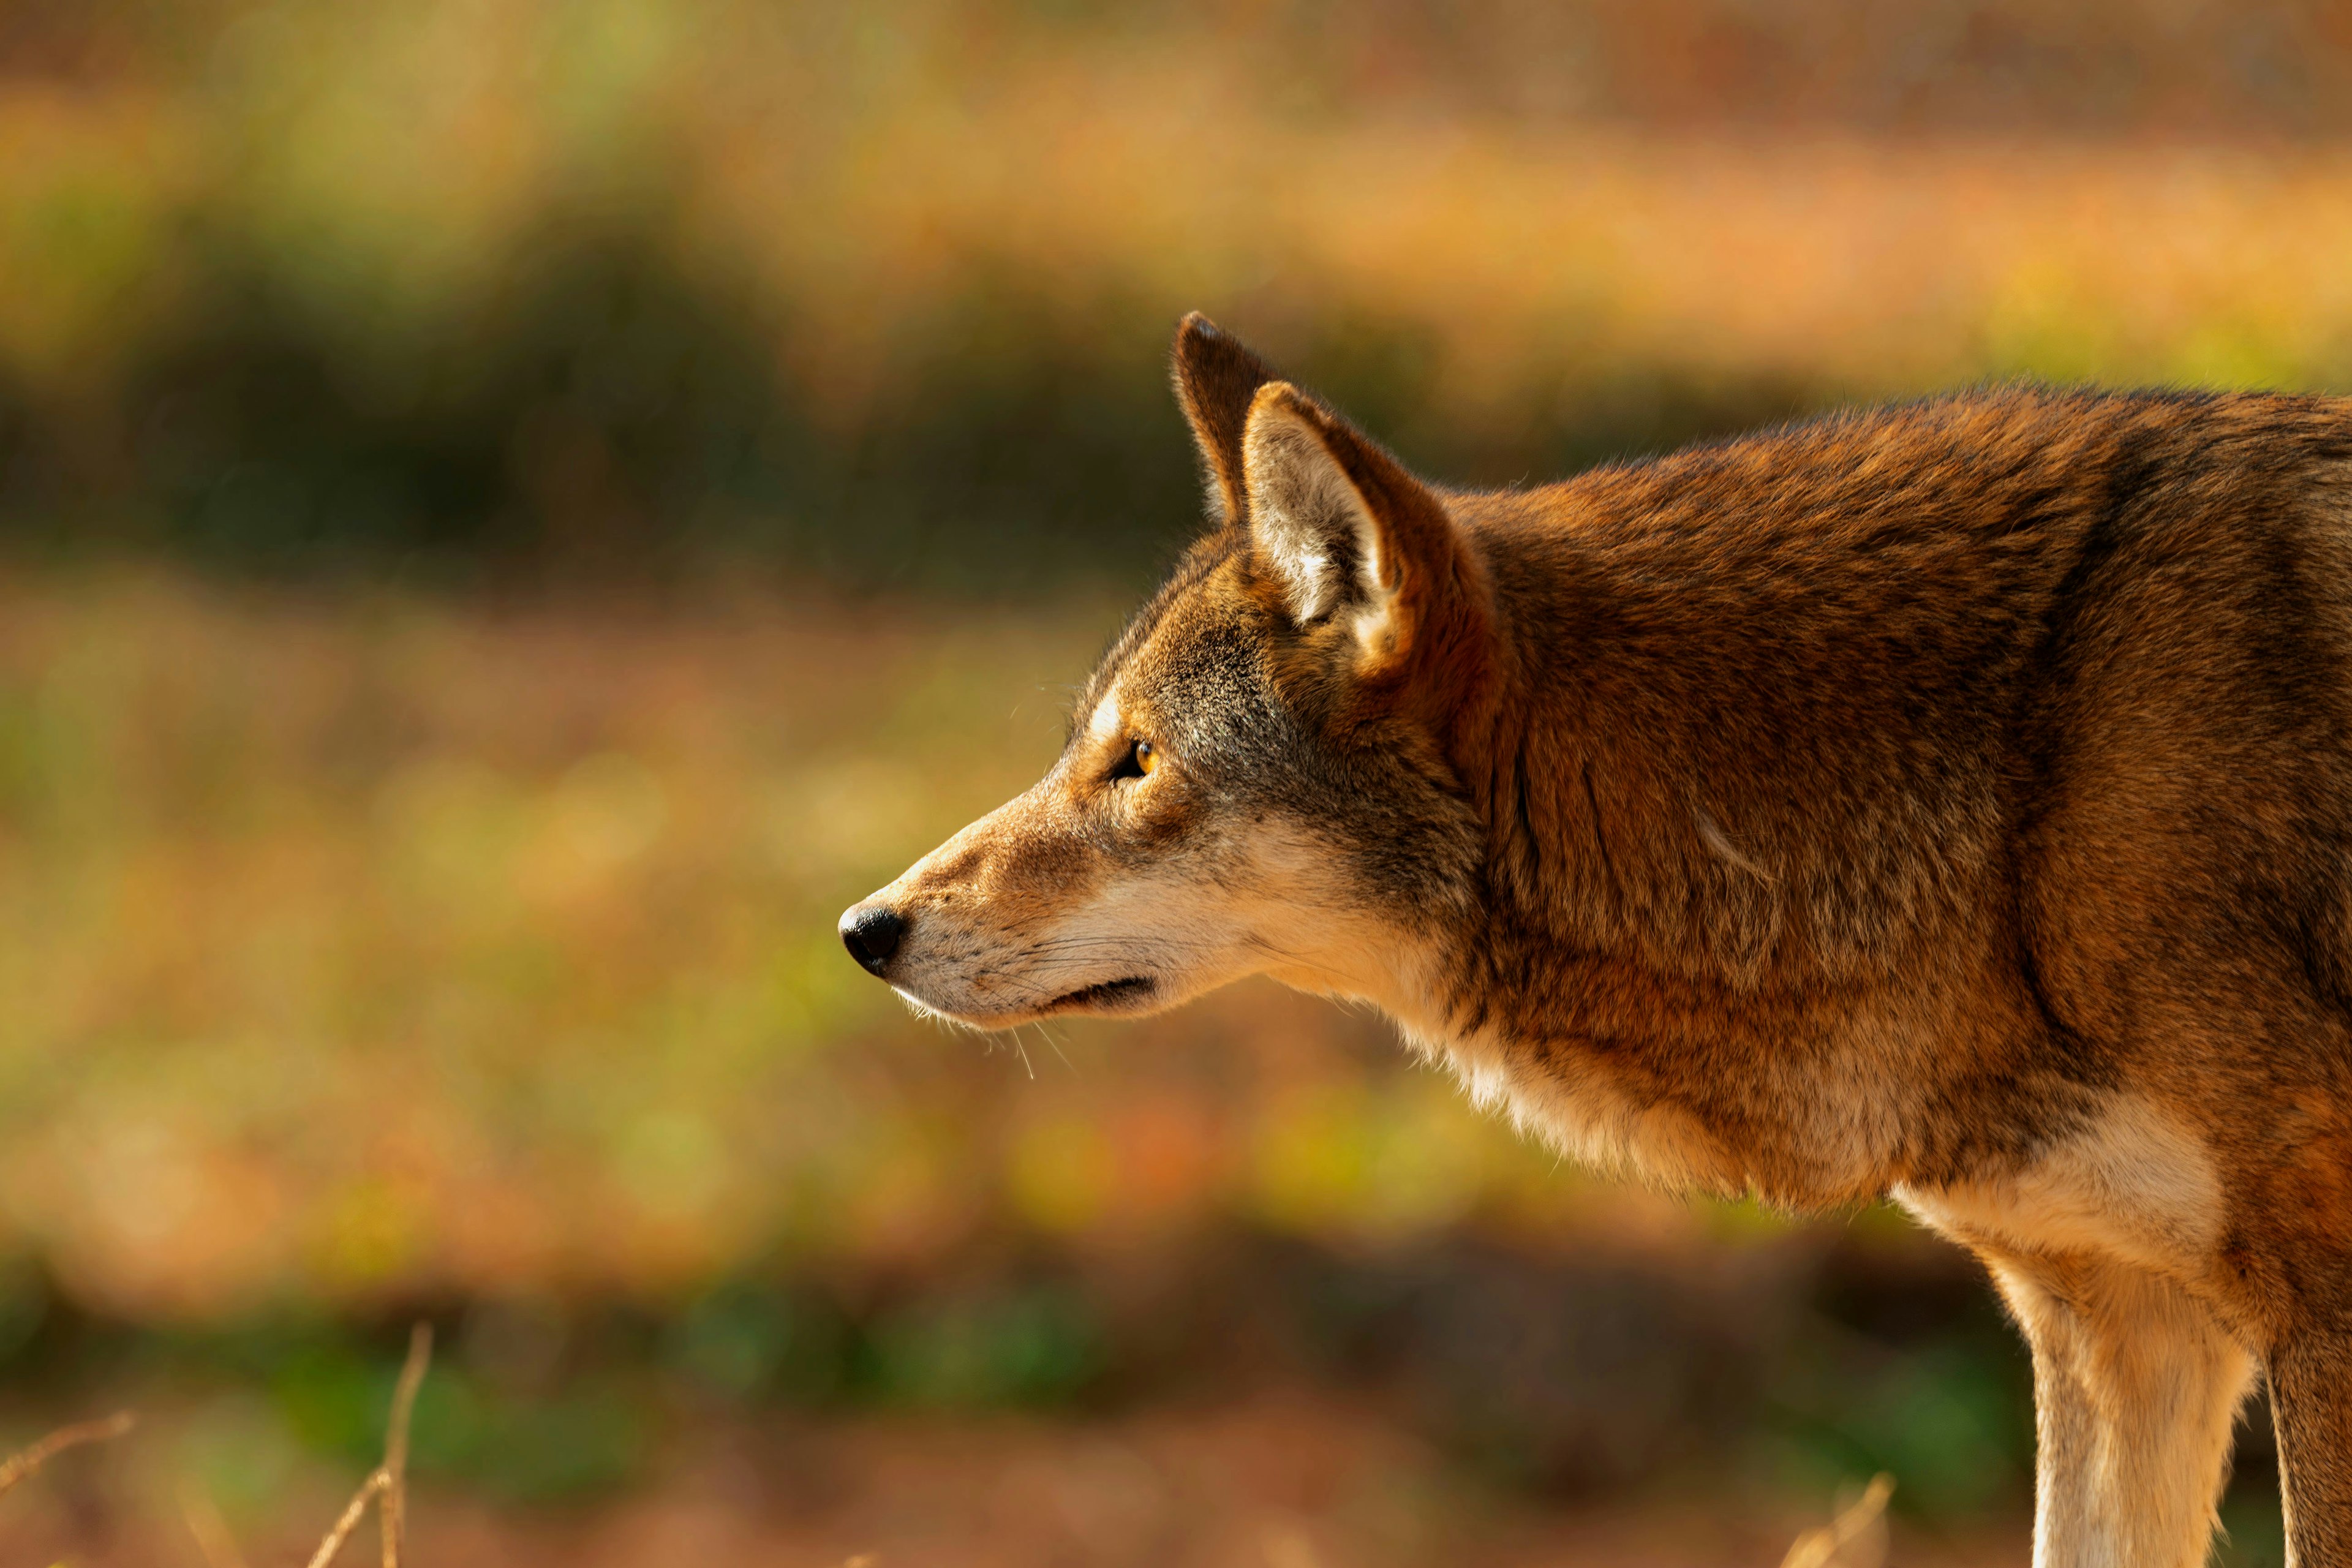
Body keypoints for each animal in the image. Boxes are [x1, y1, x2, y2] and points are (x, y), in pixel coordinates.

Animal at [846, 319, 2352, 1568]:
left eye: (1139, 762)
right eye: (1089, 745)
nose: (866, 928)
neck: (2024, 788)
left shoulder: (2309, 1309)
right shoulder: (2117, 1322)